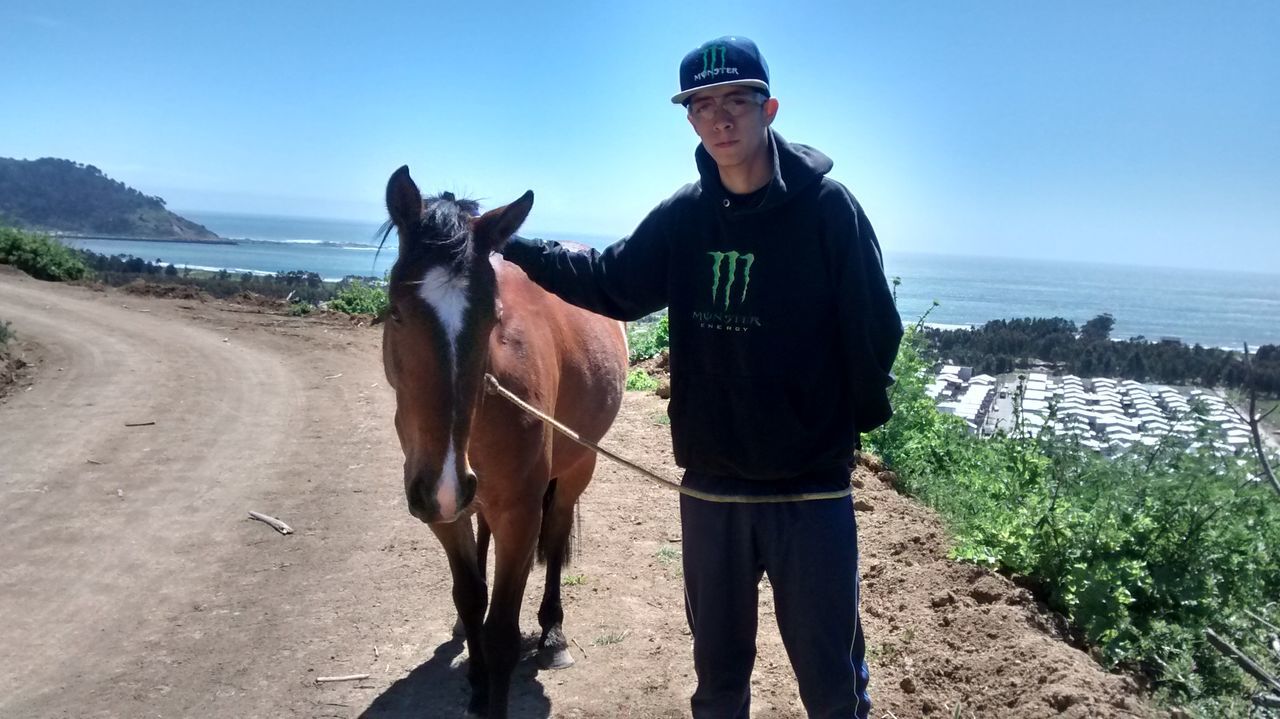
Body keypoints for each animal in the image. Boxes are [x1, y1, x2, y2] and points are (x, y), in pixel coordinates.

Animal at [376, 165, 627, 711]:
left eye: (492, 317)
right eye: (396, 311)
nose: (445, 485)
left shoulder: (519, 514)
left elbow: (502, 633)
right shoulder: (441, 509)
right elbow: (471, 599)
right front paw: (475, 678)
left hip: (575, 471)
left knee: (556, 536)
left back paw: (553, 636)